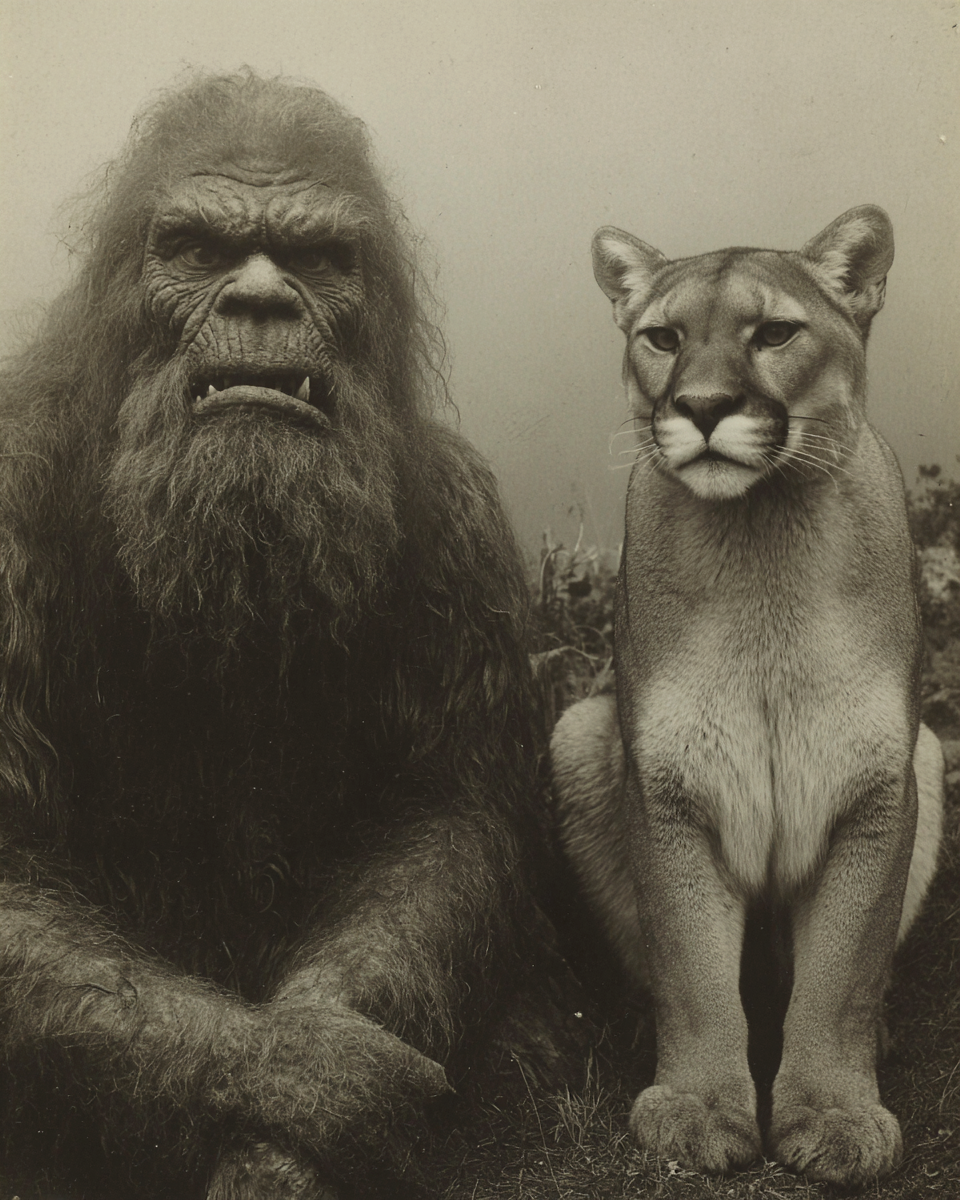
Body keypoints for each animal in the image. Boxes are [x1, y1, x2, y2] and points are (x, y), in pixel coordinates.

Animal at [550, 205, 944, 1188]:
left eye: (773, 334)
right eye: (662, 338)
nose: (700, 407)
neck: (763, 536)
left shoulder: (878, 783)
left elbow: (840, 972)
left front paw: (836, 1110)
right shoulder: (667, 785)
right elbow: (692, 963)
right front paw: (696, 1103)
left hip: (932, 749)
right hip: (577, 730)